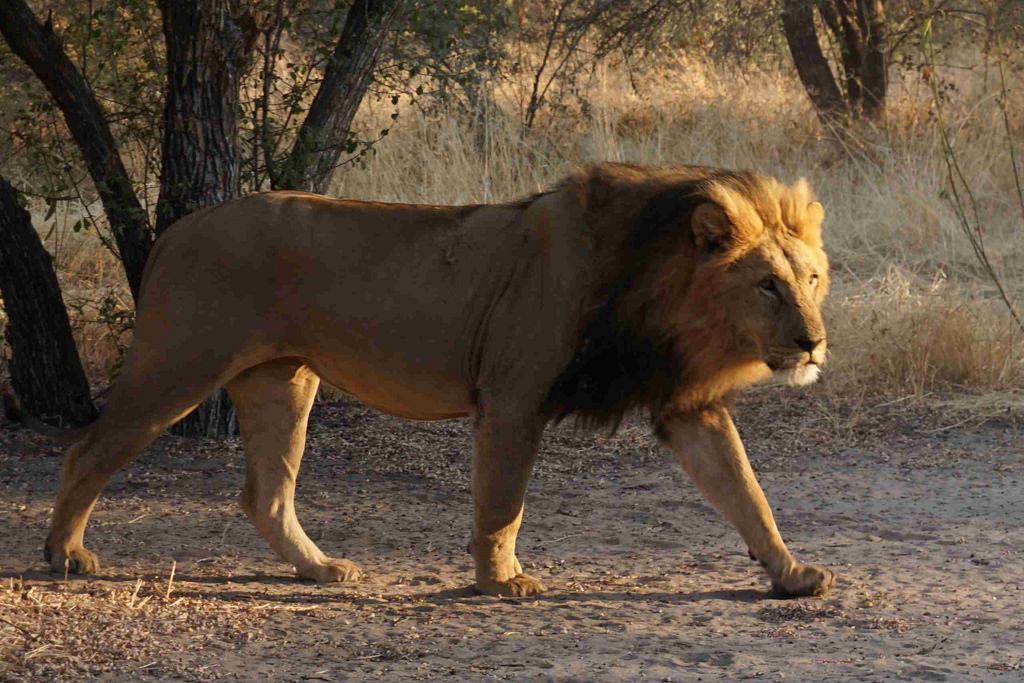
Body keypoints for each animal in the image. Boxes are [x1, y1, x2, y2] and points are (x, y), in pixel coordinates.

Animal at [36, 163, 831, 598]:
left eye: (814, 278)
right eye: (766, 285)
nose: (814, 343)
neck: (662, 290)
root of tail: (179, 227)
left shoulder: (690, 405)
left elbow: (746, 491)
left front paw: (791, 574)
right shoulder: (513, 397)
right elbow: (503, 504)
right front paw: (502, 581)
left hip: (281, 382)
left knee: (266, 495)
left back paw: (319, 569)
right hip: (180, 364)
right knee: (87, 451)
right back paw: (66, 556)